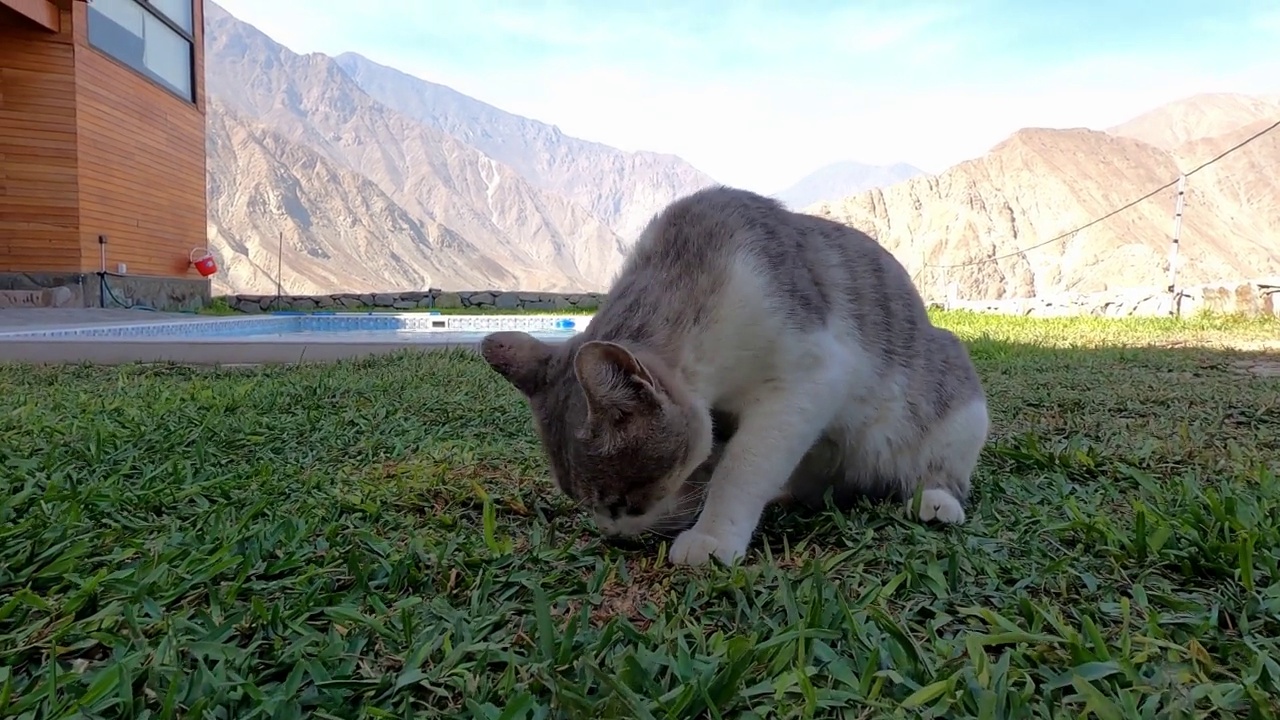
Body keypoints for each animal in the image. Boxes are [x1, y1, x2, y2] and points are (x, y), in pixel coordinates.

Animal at [481, 185, 988, 566]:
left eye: (624, 501)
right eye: (585, 503)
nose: (612, 533)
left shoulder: (809, 377)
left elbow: (743, 465)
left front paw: (711, 536)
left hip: (956, 402)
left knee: (945, 473)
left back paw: (936, 502)